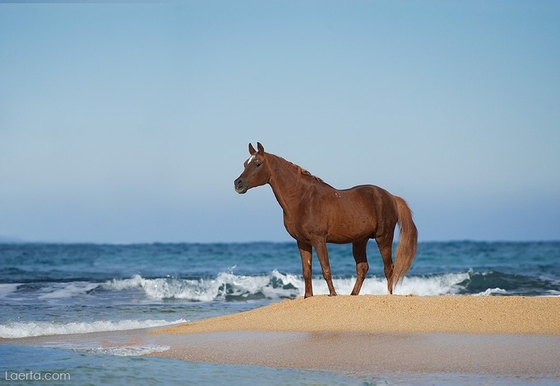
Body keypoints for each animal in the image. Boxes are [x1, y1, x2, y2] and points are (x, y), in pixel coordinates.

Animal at [234, 143, 418, 298]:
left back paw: (389, 296)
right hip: (360, 240)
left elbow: (326, 269)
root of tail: (391, 196)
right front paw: (308, 296)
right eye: (244, 164)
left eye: (257, 163)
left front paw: (333, 295)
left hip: (383, 238)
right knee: (362, 268)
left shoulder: (319, 239)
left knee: (389, 268)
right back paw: (353, 295)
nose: (238, 184)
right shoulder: (302, 242)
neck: (302, 199)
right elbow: (306, 270)